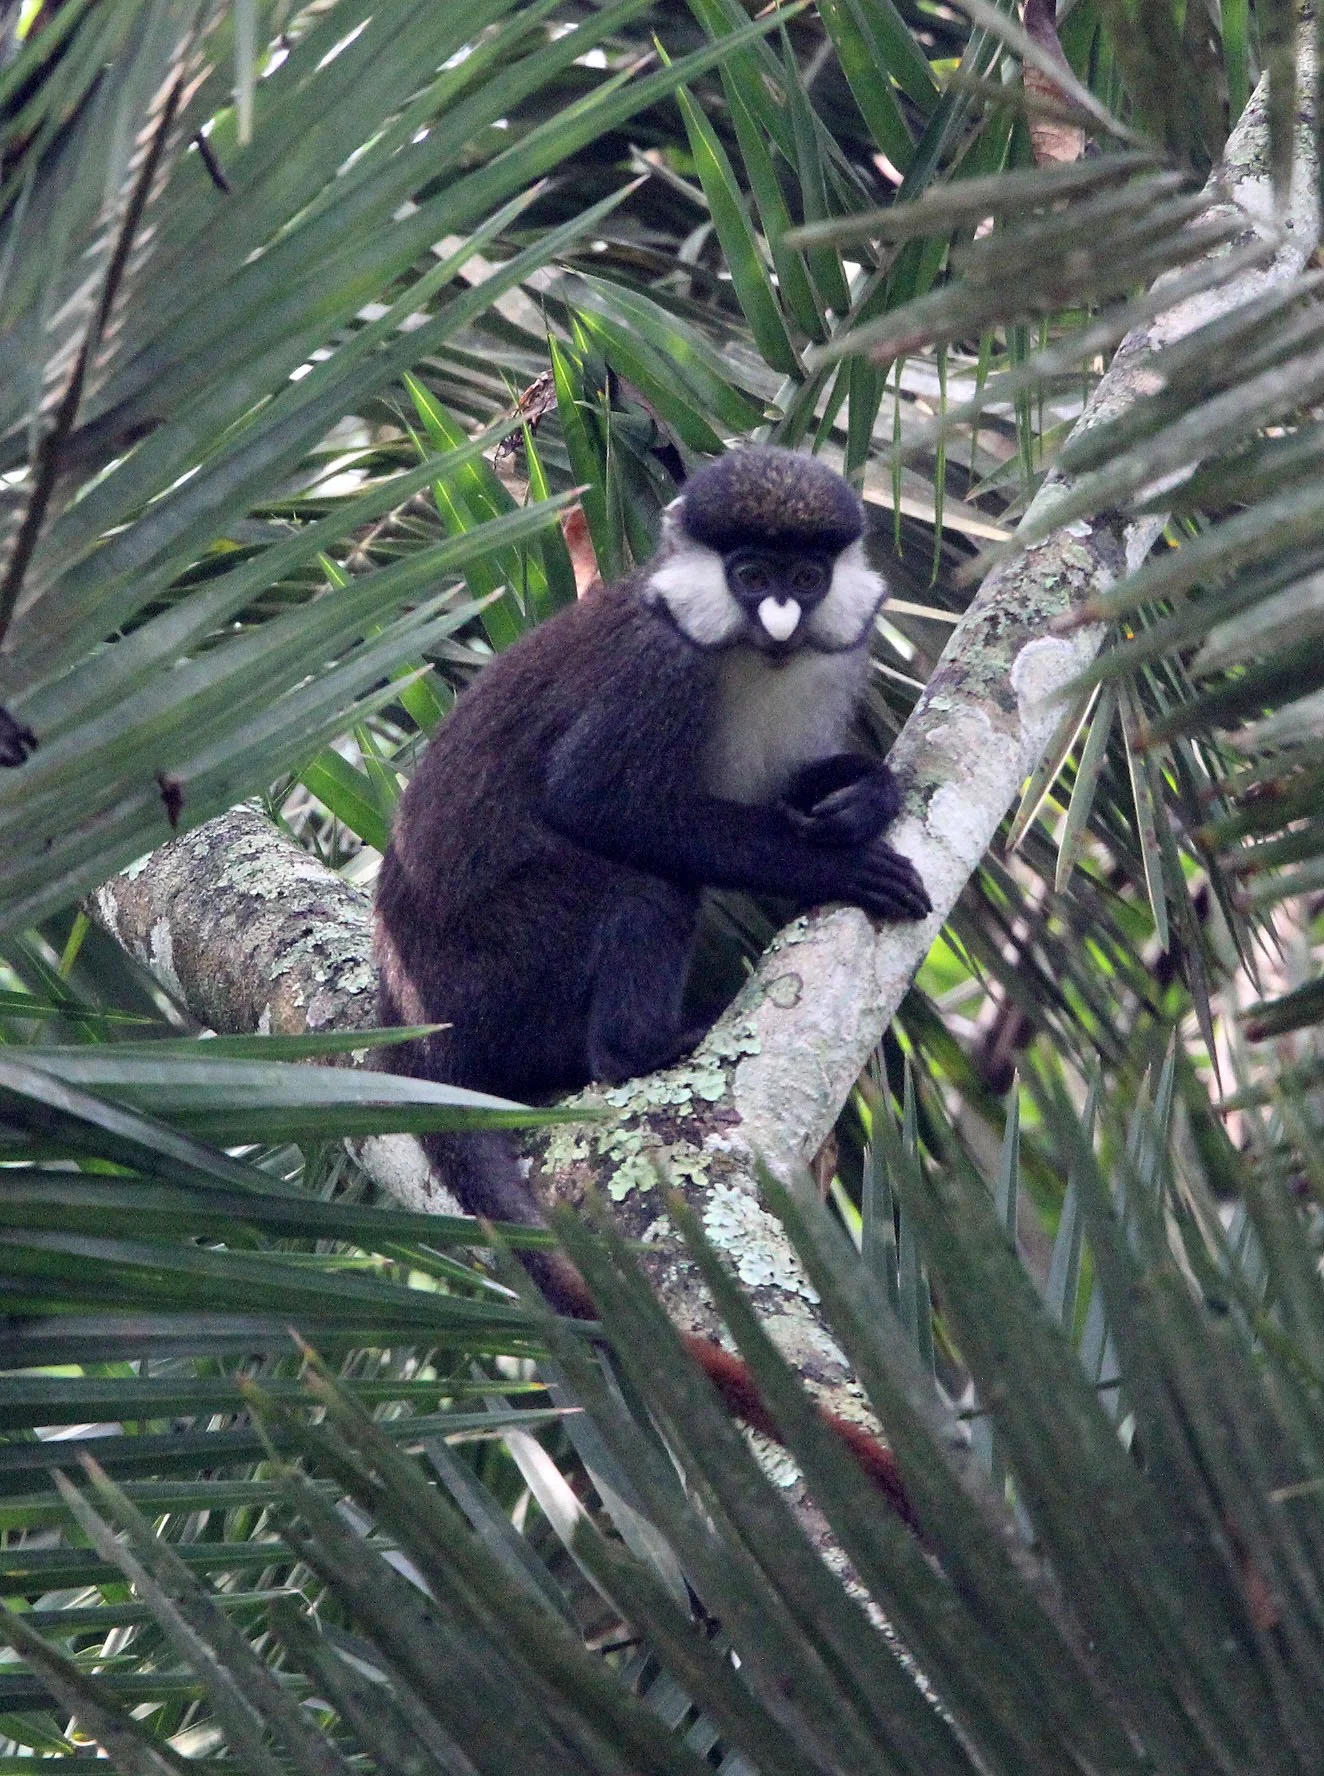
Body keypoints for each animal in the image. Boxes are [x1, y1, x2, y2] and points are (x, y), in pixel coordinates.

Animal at [374, 446, 930, 1522]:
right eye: (750, 576)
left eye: (804, 578)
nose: (780, 620)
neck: (746, 658)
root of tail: (413, 1012)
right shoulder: (656, 669)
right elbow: (599, 803)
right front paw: (836, 865)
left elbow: (780, 789)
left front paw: (863, 795)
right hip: (501, 963)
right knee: (643, 880)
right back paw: (639, 1050)